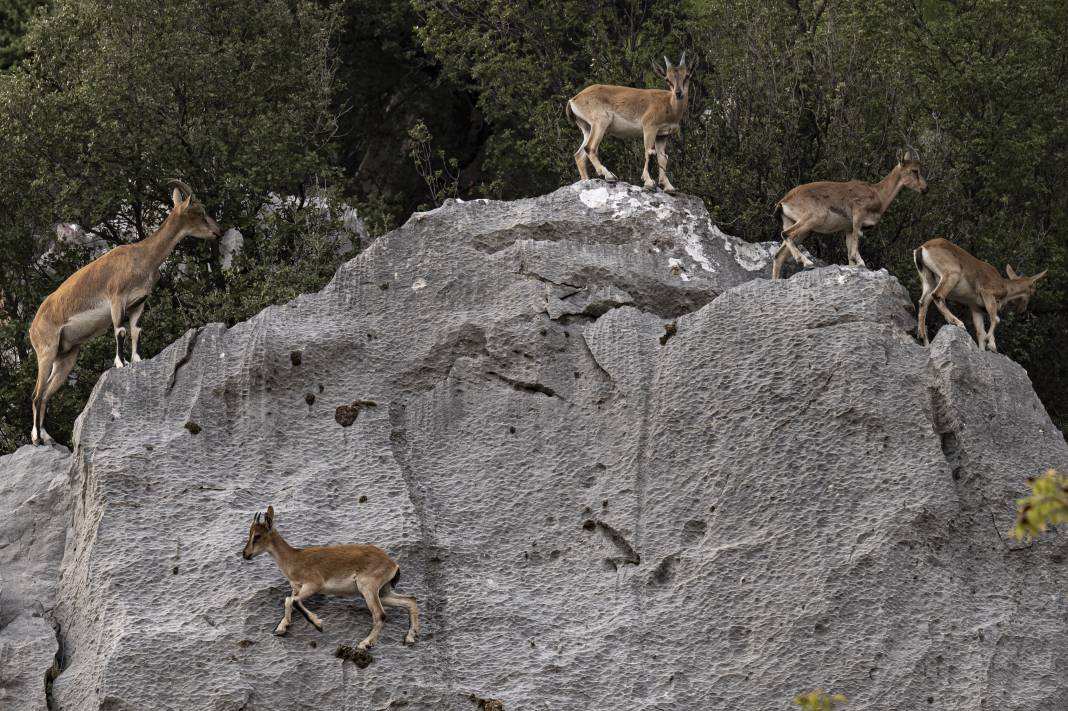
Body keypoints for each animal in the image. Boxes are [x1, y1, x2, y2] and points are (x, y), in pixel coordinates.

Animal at [30, 178, 221, 444]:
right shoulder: (116, 298)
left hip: (66, 356)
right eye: (199, 211)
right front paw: (120, 363)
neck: (142, 256)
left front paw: (138, 360)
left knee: (47, 393)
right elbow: (119, 330)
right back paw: (37, 438)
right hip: (46, 350)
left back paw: (47, 437)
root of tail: (33, 326)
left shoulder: (138, 303)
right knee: (37, 395)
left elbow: (136, 330)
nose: (218, 231)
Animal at [242, 503, 416, 649]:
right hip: (383, 592)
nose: (245, 554)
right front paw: (281, 628)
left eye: (257, 536)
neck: (294, 559)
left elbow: (293, 601)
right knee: (410, 601)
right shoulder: (297, 588)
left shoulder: (314, 584)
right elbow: (288, 601)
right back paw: (410, 637)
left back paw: (365, 643)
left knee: (380, 615)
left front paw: (318, 624)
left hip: (368, 588)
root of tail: (393, 565)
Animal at [563, 51, 696, 192]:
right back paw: (609, 175)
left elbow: (663, 158)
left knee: (579, 155)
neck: (669, 105)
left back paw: (587, 181)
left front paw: (669, 187)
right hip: (600, 122)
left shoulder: (662, 134)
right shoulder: (649, 127)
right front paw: (649, 182)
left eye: (687, 76)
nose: (678, 93)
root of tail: (573, 100)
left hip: (587, 128)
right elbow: (649, 152)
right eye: (667, 79)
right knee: (590, 147)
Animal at [914, 237, 1046, 350]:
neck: (1004, 286)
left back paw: (924, 339)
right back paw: (958, 323)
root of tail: (922, 248)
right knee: (937, 295)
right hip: (952, 273)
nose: (1022, 310)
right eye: (1033, 291)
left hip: (928, 279)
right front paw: (991, 345)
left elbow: (980, 332)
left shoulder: (976, 307)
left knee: (923, 302)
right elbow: (996, 319)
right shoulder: (987, 293)